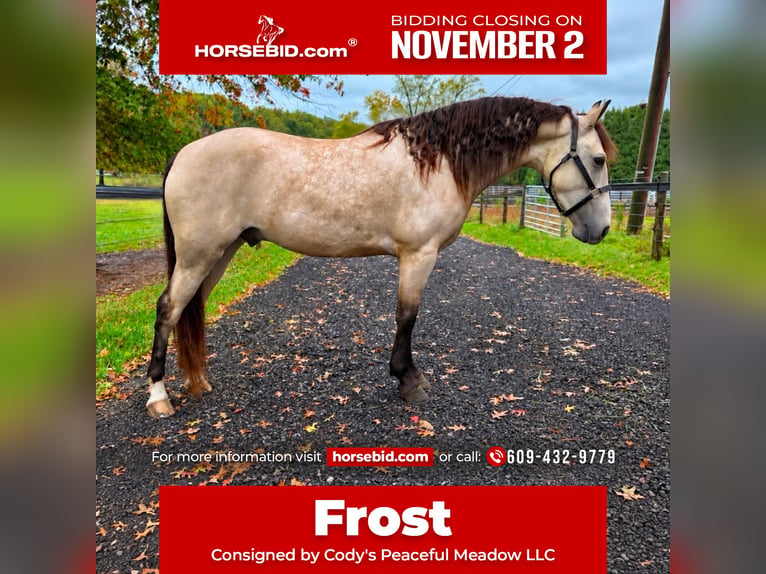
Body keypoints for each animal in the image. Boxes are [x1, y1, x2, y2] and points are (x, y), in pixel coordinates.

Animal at [145, 96, 616, 418]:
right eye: (597, 159)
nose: (602, 230)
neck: (438, 161)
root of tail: (185, 152)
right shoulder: (418, 255)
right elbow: (407, 316)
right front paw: (408, 380)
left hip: (218, 253)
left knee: (190, 308)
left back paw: (198, 381)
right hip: (199, 255)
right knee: (168, 309)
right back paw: (159, 397)